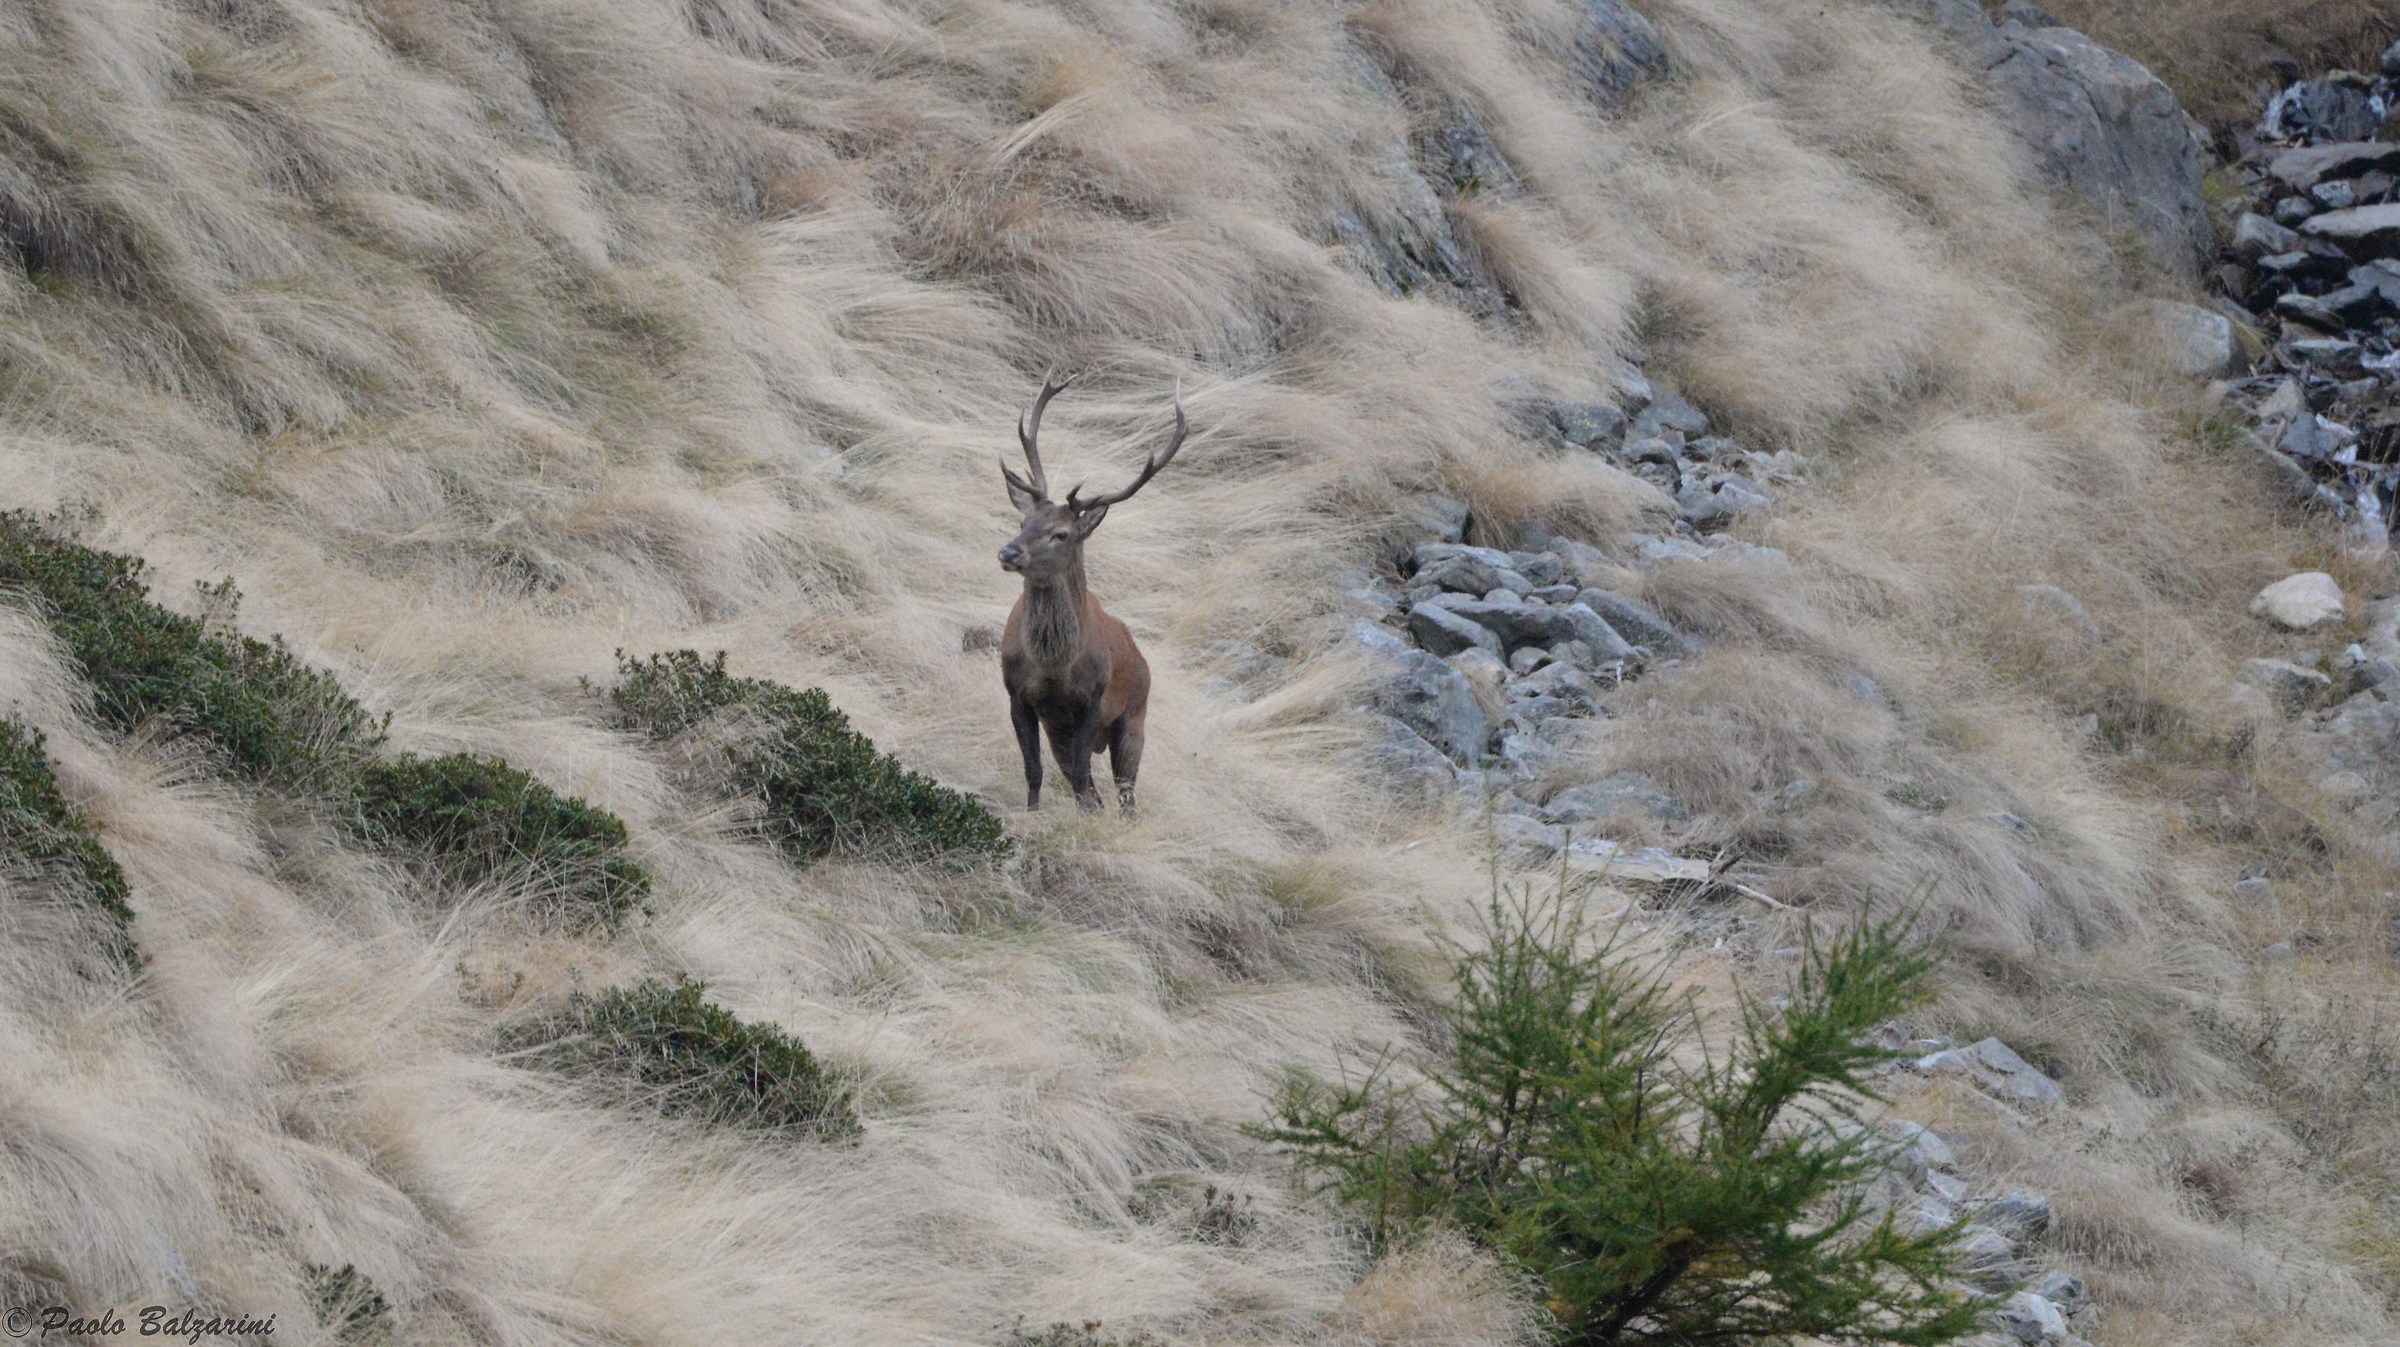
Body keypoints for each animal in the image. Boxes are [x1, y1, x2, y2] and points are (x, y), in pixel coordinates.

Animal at [996, 372, 1187, 815]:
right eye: (1023, 520)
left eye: (1062, 534)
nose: (1008, 552)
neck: (1053, 667)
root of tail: (1140, 657)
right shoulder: (1018, 695)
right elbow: (1035, 772)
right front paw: (1032, 815)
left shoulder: (1091, 702)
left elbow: (1084, 777)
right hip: (1061, 733)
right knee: (1090, 791)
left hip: (1134, 717)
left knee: (1124, 794)